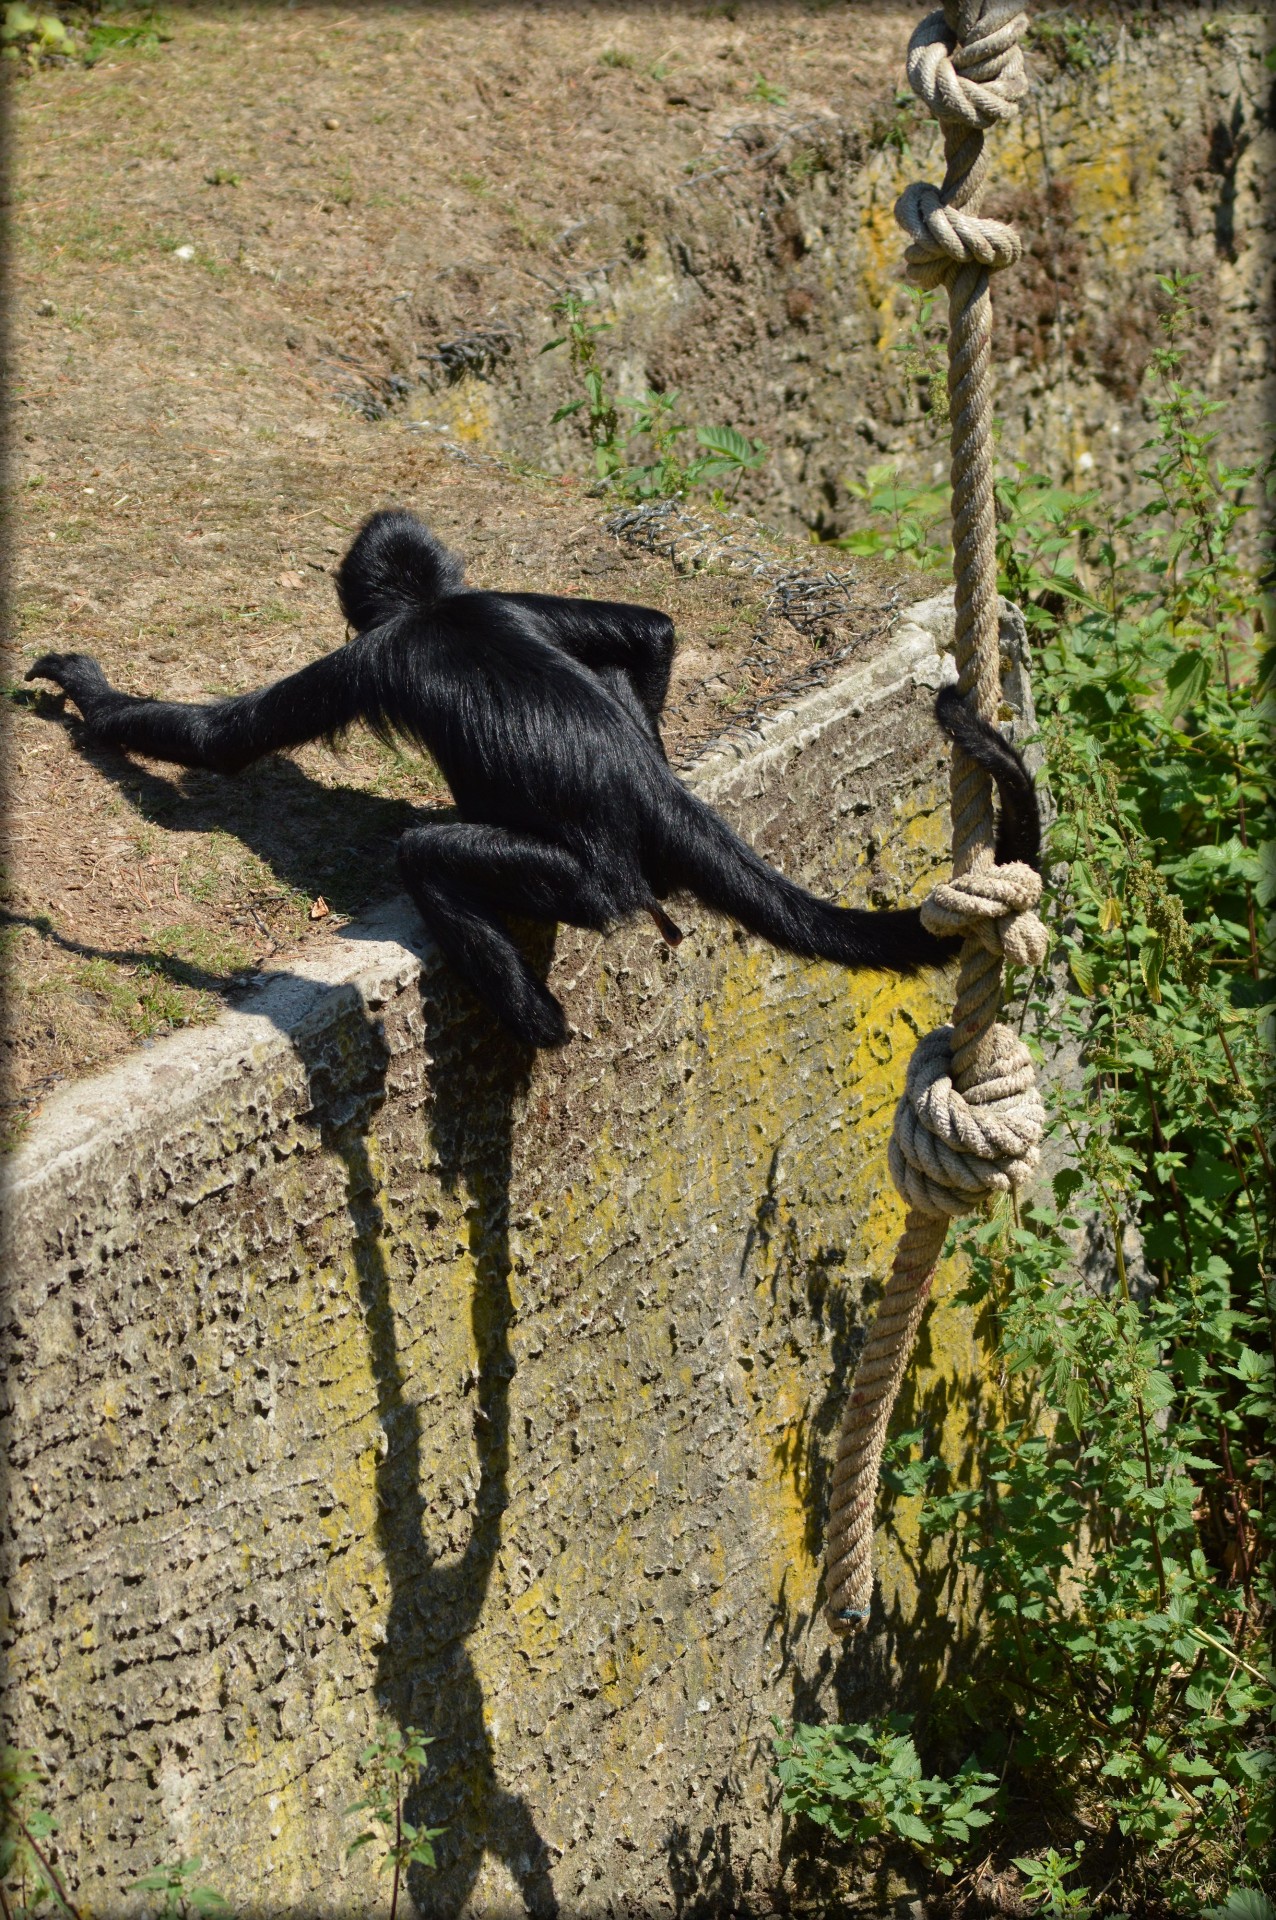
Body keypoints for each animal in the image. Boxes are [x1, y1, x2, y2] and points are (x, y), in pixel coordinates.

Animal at [24, 510, 1036, 1052]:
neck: (438, 610)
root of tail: (648, 802)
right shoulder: (498, 598)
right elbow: (649, 628)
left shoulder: (372, 656)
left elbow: (222, 741)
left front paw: (86, 692)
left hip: (585, 884)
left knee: (428, 854)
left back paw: (537, 1022)